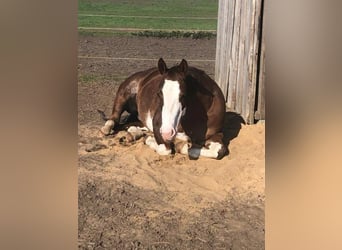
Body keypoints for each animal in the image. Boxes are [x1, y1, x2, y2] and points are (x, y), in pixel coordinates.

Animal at [99, 58, 228, 160]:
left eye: (183, 95)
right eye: (159, 93)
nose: (167, 132)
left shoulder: (216, 134)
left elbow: (219, 151)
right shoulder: (158, 127)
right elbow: (165, 149)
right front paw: (151, 140)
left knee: (132, 125)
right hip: (123, 94)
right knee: (114, 118)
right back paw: (107, 129)